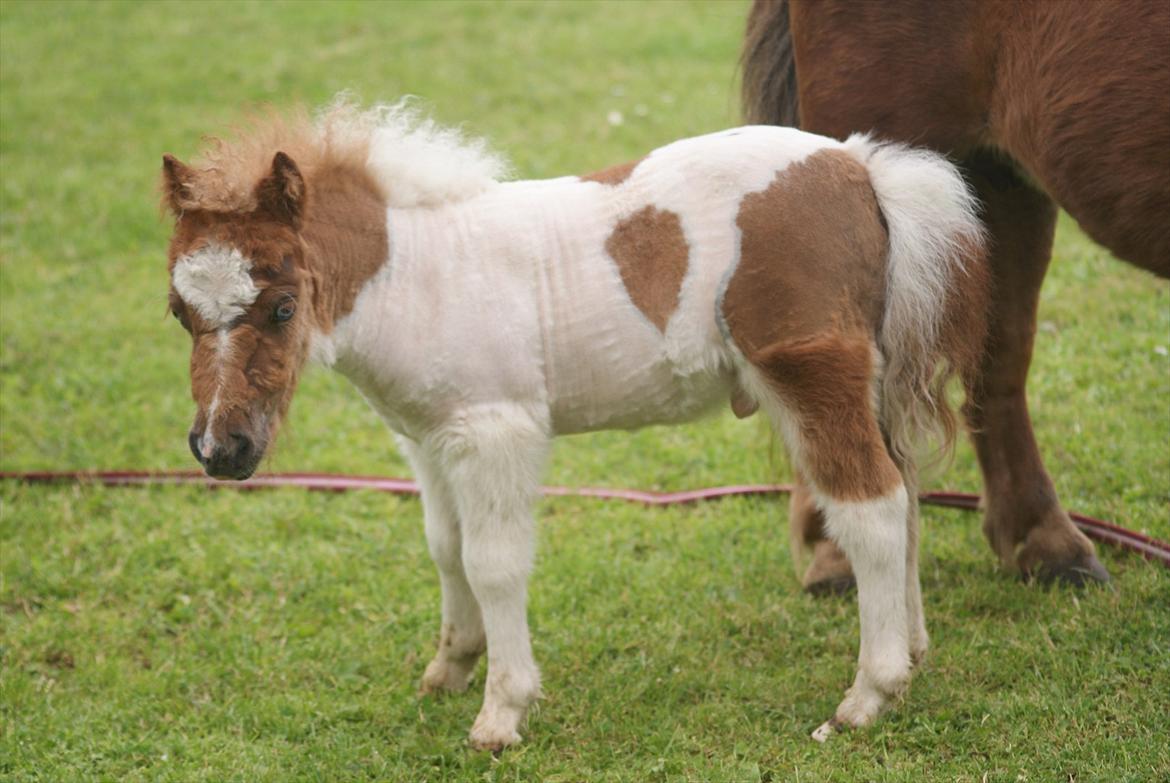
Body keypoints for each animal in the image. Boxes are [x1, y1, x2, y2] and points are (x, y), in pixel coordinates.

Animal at [162, 100, 987, 749]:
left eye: (282, 307)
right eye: (177, 310)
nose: (220, 449)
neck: (420, 274)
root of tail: (859, 167)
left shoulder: (495, 431)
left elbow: (494, 562)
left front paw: (501, 711)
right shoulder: (428, 440)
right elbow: (446, 548)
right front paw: (450, 667)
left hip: (811, 376)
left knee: (872, 507)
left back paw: (866, 695)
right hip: (866, 382)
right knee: (907, 498)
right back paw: (913, 653)